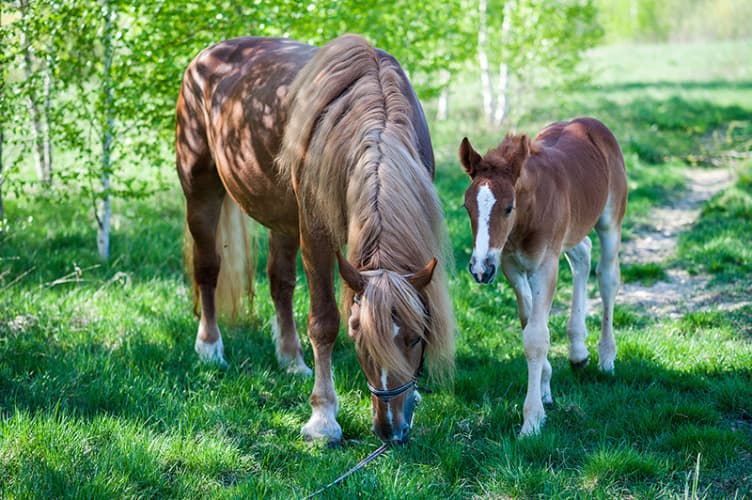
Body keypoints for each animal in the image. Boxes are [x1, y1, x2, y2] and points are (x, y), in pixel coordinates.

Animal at [176, 33, 456, 444]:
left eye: (416, 337)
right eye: (357, 337)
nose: (389, 429)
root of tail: (207, 55)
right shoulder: (317, 235)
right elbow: (323, 322)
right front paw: (323, 417)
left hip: (280, 214)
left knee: (280, 282)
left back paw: (291, 358)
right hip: (201, 192)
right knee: (208, 267)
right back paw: (210, 346)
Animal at [458, 119, 628, 436]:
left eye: (508, 207)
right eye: (467, 207)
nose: (480, 269)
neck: (528, 215)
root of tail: (589, 122)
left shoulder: (546, 266)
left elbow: (536, 337)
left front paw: (532, 420)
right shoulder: (510, 266)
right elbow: (529, 322)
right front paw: (546, 385)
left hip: (611, 219)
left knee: (607, 276)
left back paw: (606, 357)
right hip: (572, 232)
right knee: (583, 254)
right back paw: (578, 351)